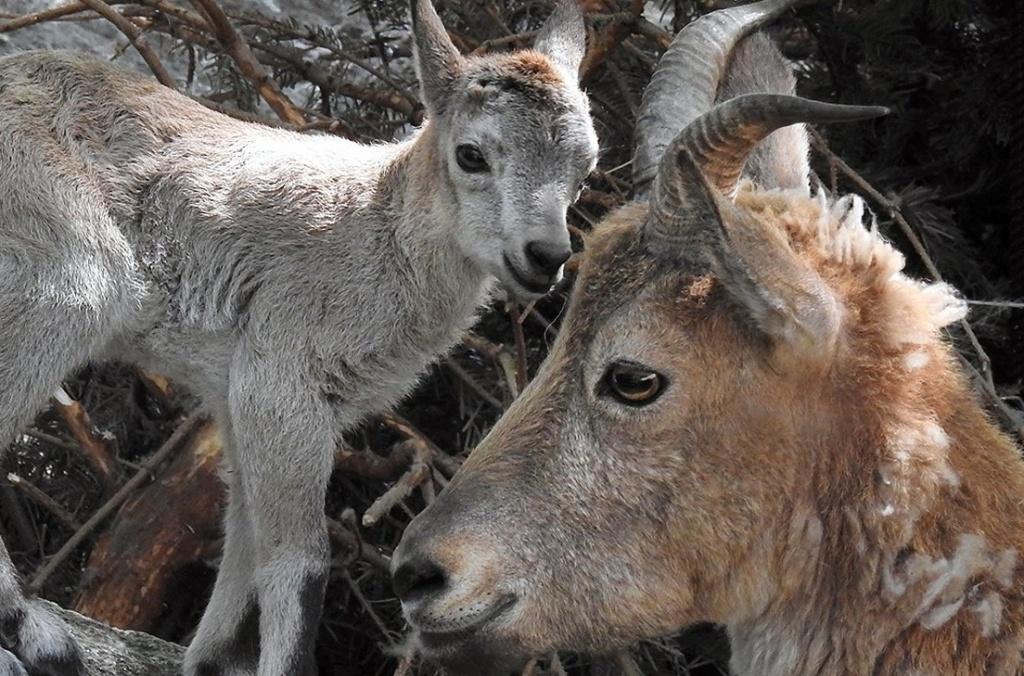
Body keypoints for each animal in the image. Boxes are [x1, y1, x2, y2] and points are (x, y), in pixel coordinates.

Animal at [0, 1, 598, 671]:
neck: (380, 236)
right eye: (471, 154)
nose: (545, 256)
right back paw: (39, 637)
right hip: (65, 278)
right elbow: (300, 560)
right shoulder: (282, 377)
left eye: (586, 167)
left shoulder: (238, 395)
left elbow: (244, 541)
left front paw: (211, 661)